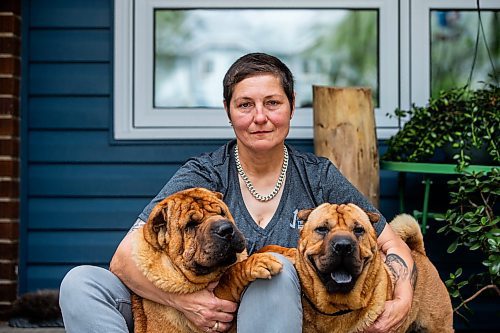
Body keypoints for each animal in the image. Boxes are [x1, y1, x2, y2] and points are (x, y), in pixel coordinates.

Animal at [131, 187, 284, 332]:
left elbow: (265, 248)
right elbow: (230, 275)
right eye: (190, 225)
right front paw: (259, 262)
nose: (226, 229)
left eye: (222, 213)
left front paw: (286, 251)